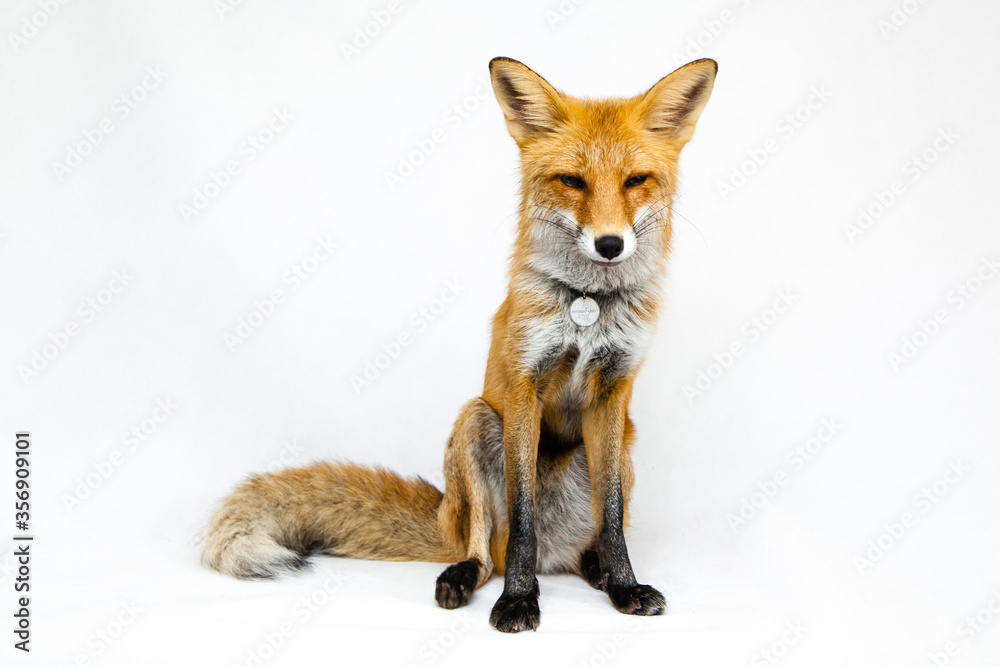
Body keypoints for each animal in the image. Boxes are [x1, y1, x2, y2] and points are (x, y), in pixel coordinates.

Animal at [203, 56, 717, 632]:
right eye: (572, 181)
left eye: (635, 181)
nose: (610, 244)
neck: (588, 304)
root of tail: (554, 557)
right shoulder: (523, 388)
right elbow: (521, 518)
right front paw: (519, 601)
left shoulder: (613, 393)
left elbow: (611, 522)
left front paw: (625, 585)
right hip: (475, 423)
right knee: (488, 550)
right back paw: (466, 577)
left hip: (625, 442)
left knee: (587, 540)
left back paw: (596, 570)